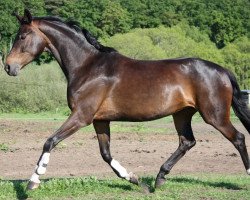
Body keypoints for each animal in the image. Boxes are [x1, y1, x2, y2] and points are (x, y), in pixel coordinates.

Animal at [3, 9, 250, 191]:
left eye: (22, 36)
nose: (8, 66)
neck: (88, 67)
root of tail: (222, 70)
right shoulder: (99, 120)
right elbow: (106, 154)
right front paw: (135, 179)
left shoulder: (81, 116)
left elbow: (50, 140)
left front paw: (33, 181)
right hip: (182, 114)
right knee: (187, 142)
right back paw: (159, 178)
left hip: (214, 115)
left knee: (238, 138)